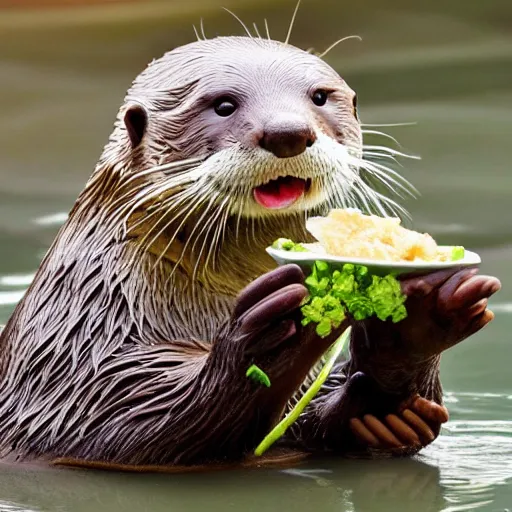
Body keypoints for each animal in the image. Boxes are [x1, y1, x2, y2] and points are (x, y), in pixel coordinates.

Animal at [0, 35, 500, 468]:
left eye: (319, 97)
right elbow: (110, 421)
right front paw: (270, 331)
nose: (287, 132)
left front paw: (411, 337)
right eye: (223, 104)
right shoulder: (74, 345)